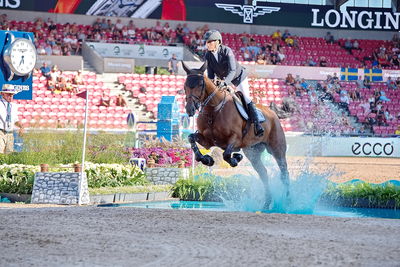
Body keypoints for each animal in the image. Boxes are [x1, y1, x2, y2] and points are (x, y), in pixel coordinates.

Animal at [182, 61, 290, 207]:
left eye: (200, 84)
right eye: (185, 85)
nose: (190, 109)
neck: (214, 110)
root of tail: (273, 113)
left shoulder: (235, 139)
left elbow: (226, 154)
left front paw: (235, 158)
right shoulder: (207, 141)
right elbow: (191, 138)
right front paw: (207, 159)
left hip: (277, 150)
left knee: (284, 172)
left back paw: (288, 201)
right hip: (253, 153)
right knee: (263, 173)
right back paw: (267, 203)